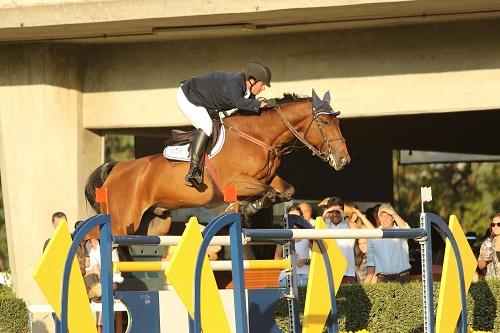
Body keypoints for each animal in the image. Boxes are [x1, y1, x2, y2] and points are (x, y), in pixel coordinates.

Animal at [85, 89, 352, 236]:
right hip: (121, 222)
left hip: (153, 224)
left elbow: (286, 191)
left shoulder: (268, 178)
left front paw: (248, 207)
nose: (343, 160)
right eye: (324, 123)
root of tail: (117, 168)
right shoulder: (237, 183)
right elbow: (266, 192)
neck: (259, 137)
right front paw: (246, 208)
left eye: (337, 122)